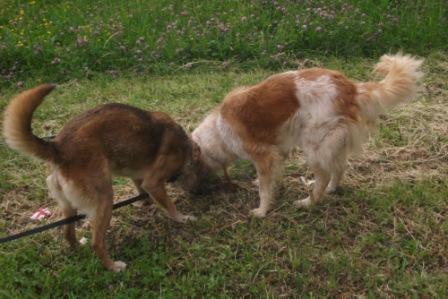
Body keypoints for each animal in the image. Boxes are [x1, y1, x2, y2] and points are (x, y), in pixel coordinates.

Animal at [3, 84, 201, 272]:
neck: (185, 146)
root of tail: (59, 148)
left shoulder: (138, 177)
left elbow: (142, 189)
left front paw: (145, 202)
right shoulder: (154, 181)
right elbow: (169, 205)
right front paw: (181, 217)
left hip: (69, 205)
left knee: (68, 233)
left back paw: (78, 247)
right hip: (104, 200)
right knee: (97, 243)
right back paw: (112, 266)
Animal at [192, 53, 424, 218]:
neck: (219, 129)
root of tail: (350, 89)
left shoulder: (264, 154)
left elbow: (265, 190)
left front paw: (261, 211)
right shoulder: (278, 151)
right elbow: (272, 178)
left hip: (313, 145)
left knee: (324, 175)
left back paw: (309, 202)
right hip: (331, 142)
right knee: (339, 168)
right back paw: (331, 190)